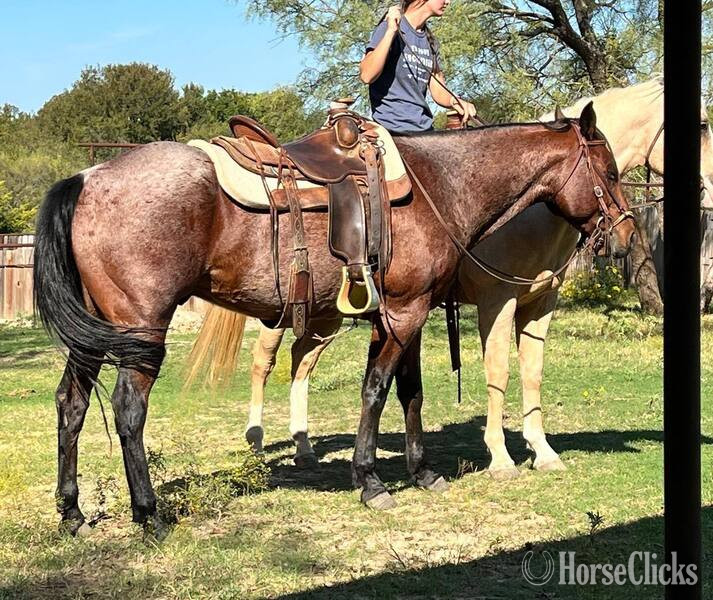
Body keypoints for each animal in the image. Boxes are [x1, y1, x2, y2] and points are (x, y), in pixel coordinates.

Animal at [34, 102, 634, 537]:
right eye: (608, 171)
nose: (627, 233)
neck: (439, 183)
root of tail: (87, 176)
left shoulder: (406, 314)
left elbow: (410, 393)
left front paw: (423, 473)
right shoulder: (409, 312)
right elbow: (376, 391)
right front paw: (370, 481)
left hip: (94, 333)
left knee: (71, 404)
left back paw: (73, 515)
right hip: (141, 330)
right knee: (128, 412)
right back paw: (149, 515)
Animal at [207, 77, 713, 475]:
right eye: (704, 124)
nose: (625, 235)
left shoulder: (539, 305)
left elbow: (532, 372)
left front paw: (543, 450)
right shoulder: (497, 301)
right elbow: (499, 370)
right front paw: (501, 457)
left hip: (327, 316)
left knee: (301, 363)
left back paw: (304, 446)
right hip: (288, 311)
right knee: (265, 361)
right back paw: (258, 441)